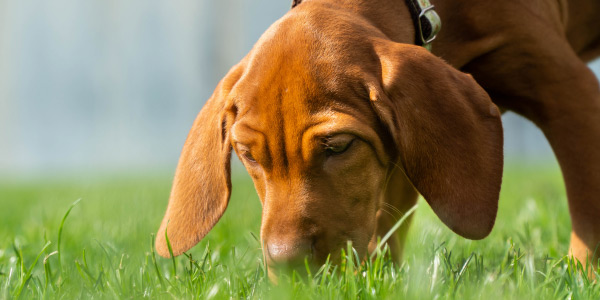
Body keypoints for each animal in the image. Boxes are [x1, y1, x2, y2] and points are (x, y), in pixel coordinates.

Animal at [156, 0, 600, 274]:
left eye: (337, 146)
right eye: (248, 154)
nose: (288, 265)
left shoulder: (572, 94)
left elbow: (588, 212)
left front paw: (584, 274)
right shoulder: (400, 144)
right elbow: (388, 220)